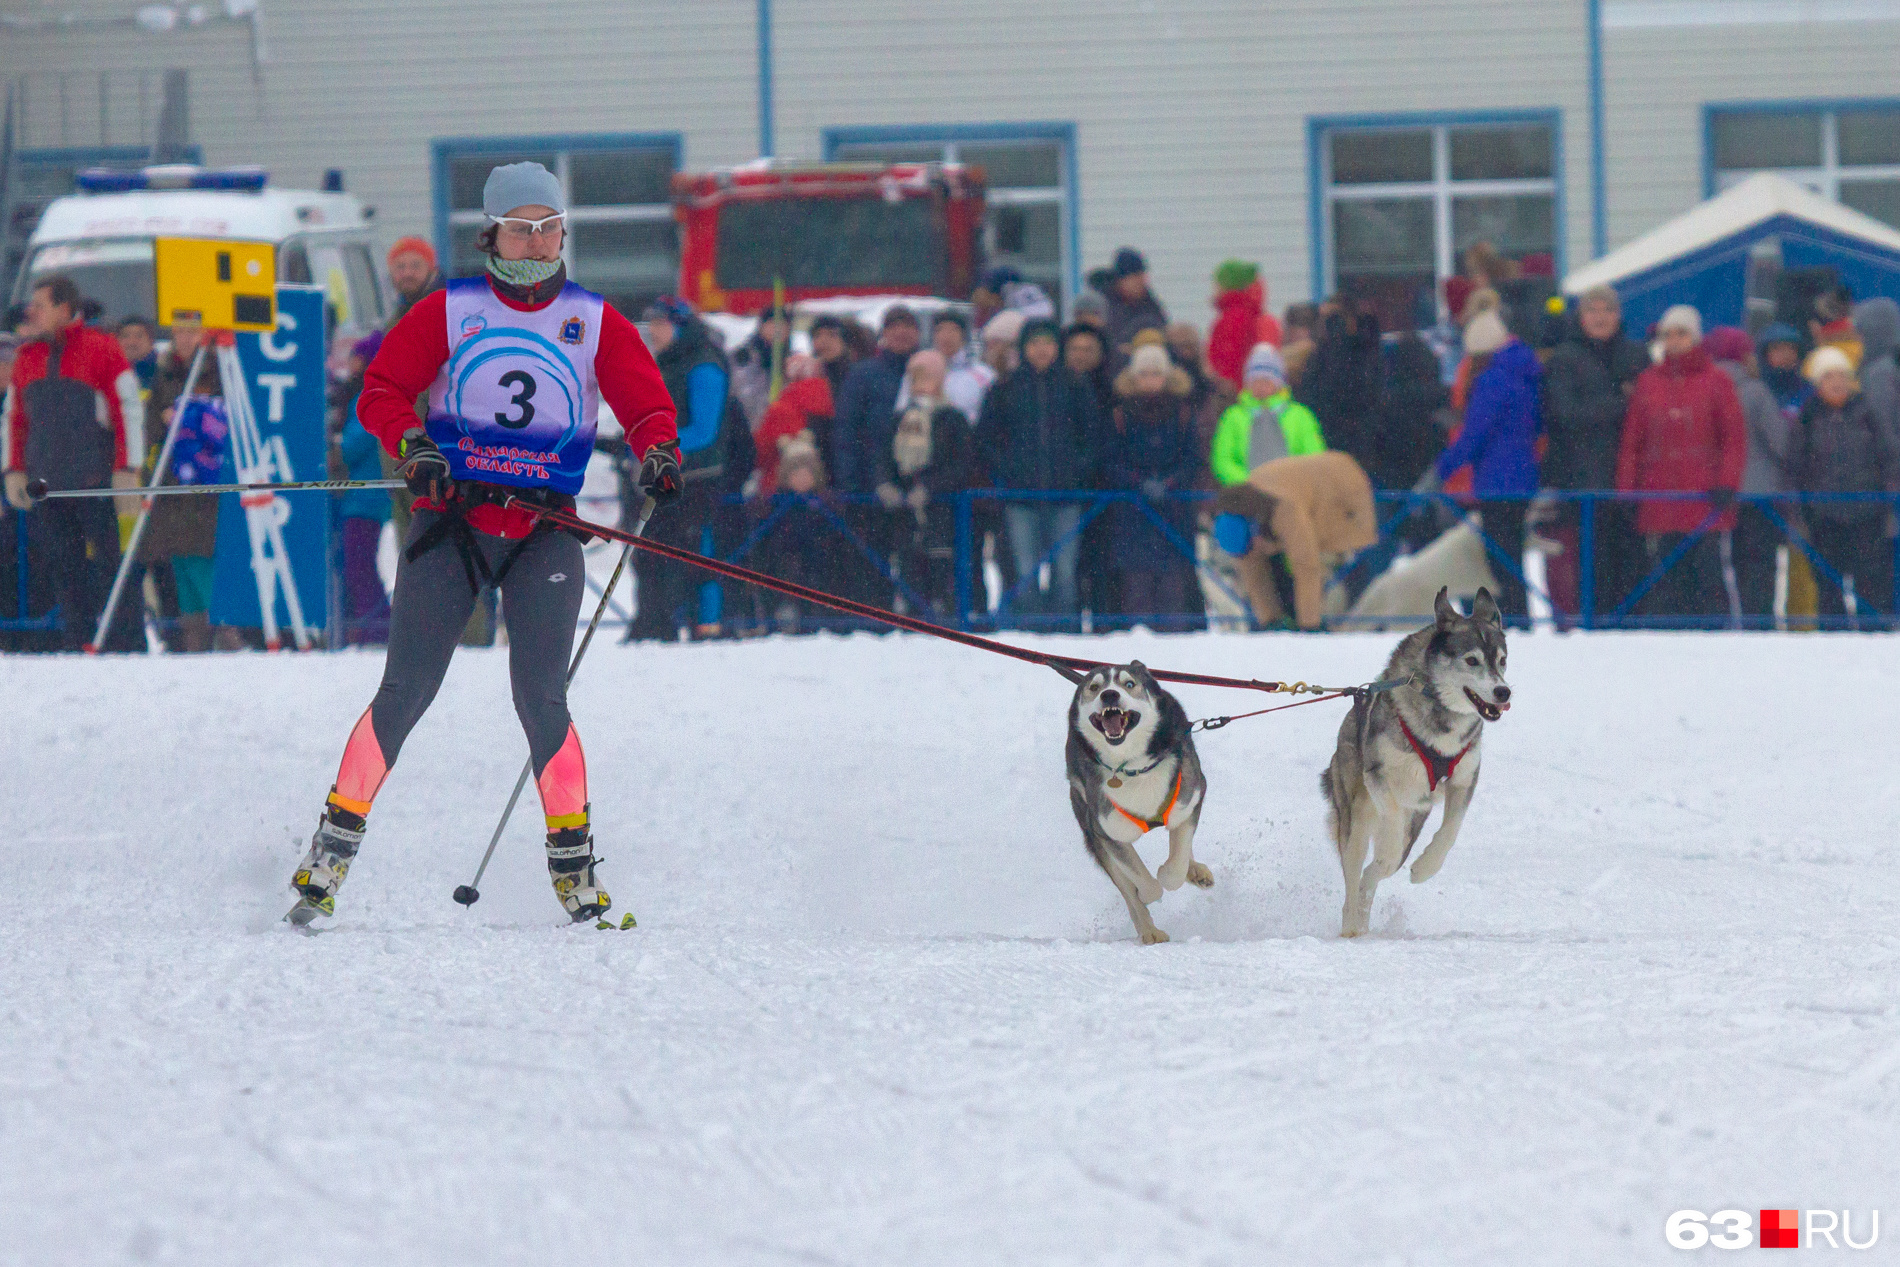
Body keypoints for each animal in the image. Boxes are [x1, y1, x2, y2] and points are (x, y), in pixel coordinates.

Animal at [1064, 664, 1208, 942]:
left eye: (1129, 684)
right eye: (1094, 687)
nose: (1109, 694)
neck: (1133, 767)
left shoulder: (1192, 797)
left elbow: (1176, 864)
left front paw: (1175, 872)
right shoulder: (1106, 832)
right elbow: (1140, 883)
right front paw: (1147, 893)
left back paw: (1195, 870)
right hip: (1090, 828)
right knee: (1126, 890)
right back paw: (1150, 931)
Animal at [1322, 588, 1512, 938]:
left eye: (1502, 660)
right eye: (1472, 660)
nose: (1503, 691)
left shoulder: (1464, 779)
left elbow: (1451, 830)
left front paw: (1425, 868)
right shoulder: (1379, 776)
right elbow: (1392, 825)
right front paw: (1389, 850)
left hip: (1415, 818)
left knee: (1371, 877)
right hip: (1354, 818)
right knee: (1356, 876)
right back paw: (1351, 927)